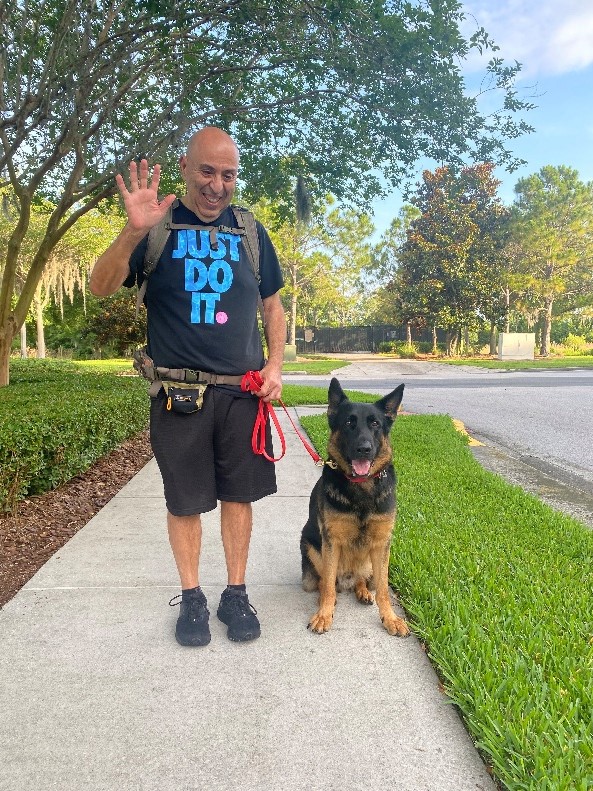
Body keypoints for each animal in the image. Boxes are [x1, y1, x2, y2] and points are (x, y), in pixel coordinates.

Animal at [300, 378, 408, 636]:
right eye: (349, 422)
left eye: (375, 423)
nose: (364, 449)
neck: (362, 487)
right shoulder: (331, 542)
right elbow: (328, 585)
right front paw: (324, 614)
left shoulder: (381, 544)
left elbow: (384, 589)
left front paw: (390, 618)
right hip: (311, 546)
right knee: (325, 581)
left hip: (371, 561)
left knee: (365, 579)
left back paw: (362, 590)